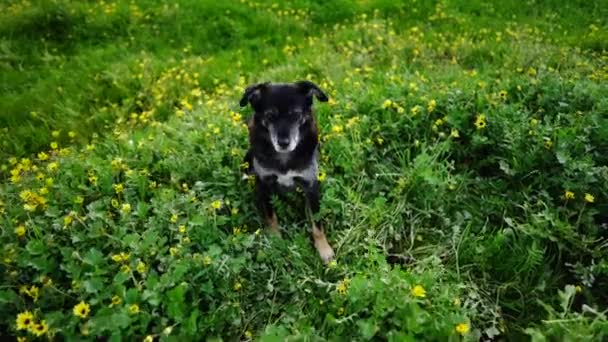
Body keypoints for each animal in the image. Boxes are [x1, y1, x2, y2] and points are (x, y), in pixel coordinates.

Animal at [240, 81, 334, 264]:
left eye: (296, 115)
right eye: (270, 116)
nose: (283, 142)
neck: (284, 158)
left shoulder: (310, 186)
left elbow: (317, 223)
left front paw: (324, 249)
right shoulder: (264, 184)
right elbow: (271, 218)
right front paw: (276, 241)